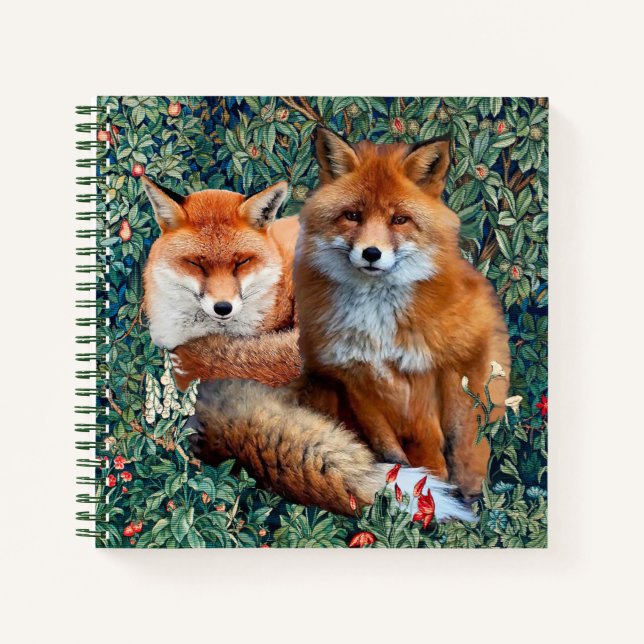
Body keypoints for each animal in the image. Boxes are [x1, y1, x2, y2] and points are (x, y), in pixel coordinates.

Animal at [191, 127, 510, 521]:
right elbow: (391, 452)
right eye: (353, 215)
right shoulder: (352, 378)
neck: (378, 325)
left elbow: (442, 445)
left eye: (399, 220)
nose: (371, 253)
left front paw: (444, 492)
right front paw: (407, 493)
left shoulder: (437, 371)